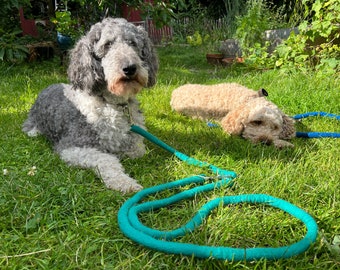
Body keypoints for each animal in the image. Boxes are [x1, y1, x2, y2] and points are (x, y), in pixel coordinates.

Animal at [22, 17, 158, 192]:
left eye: (133, 43)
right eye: (107, 44)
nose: (130, 68)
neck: (112, 104)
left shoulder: (135, 142)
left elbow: (138, 150)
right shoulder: (72, 146)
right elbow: (106, 159)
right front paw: (125, 182)